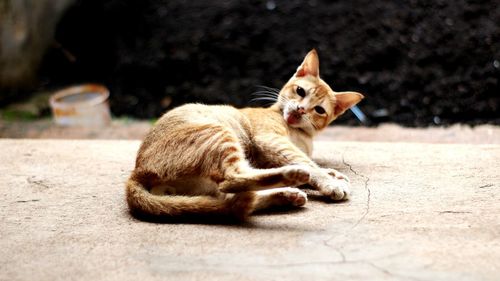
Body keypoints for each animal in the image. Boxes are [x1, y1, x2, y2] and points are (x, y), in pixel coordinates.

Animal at [127, 50, 364, 221]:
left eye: (319, 110)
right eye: (300, 91)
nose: (300, 110)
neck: (301, 134)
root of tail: (137, 171)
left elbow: (311, 162)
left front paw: (331, 173)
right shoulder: (272, 141)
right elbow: (307, 163)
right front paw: (329, 181)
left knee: (234, 201)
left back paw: (286, 195)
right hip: (219, 134)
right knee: (232, 180)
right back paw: (293, 176)